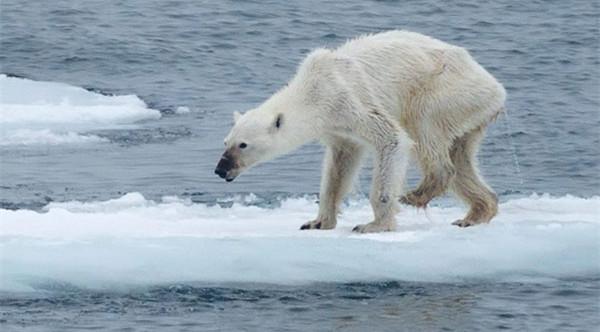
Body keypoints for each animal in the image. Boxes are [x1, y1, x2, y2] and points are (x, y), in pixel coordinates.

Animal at [216, 30, 506, 233]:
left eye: (243, 145)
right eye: (225, 141)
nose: (220, 169)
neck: (313, 90)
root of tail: (496, 88)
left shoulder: (349, 100)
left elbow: (392, 139)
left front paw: (373, 225)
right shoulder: (337, 128)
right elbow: (339, 166)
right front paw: (317, 221)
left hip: (446, 91)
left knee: (424, 128)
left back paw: (416, 194)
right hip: (469, 113)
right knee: (461, 157)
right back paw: (475, 213)